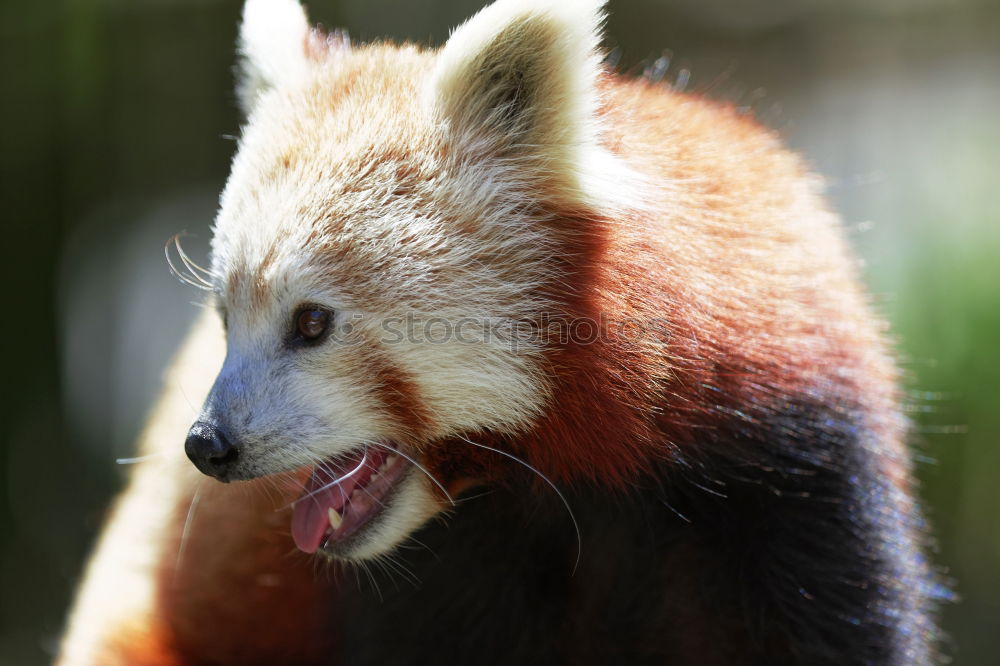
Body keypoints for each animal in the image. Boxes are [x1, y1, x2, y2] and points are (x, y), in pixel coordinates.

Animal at [58, 0, 940, 660]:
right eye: (224, 319)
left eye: (311, 323)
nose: (207, 445)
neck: (582, 476)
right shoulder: (439, 579)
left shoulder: (791, 474)